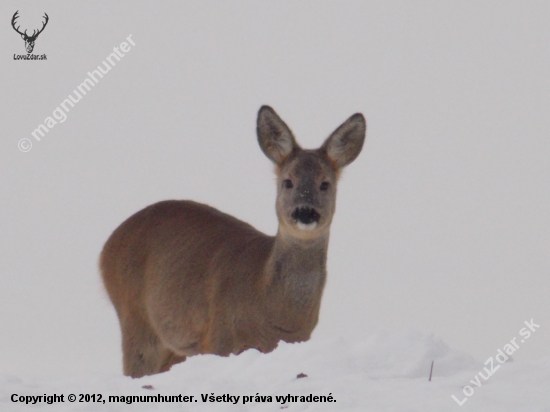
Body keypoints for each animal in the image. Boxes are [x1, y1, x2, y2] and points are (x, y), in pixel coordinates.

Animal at [100, 105, 366, 376]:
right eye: (288, 181)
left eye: (325, 184)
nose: (305, 212)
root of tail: (106, 247)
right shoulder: (218, 335)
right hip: (135, 317)